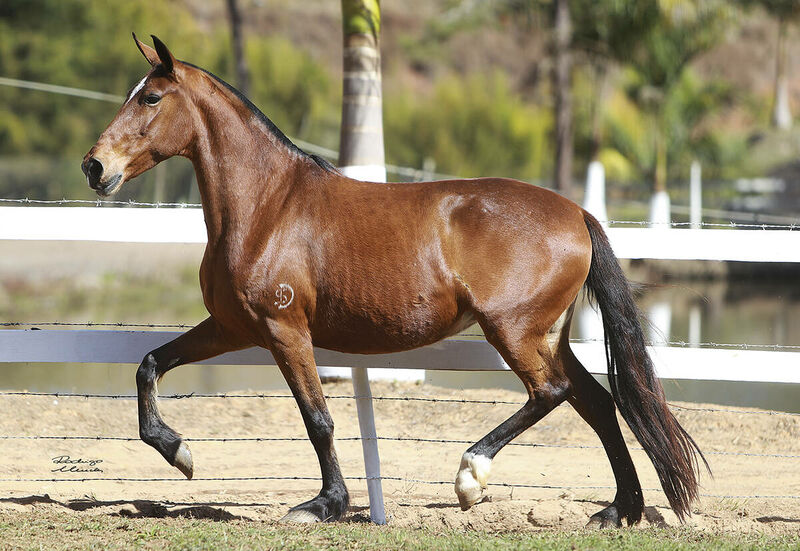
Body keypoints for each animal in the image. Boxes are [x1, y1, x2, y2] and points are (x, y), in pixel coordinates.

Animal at [81, 34, 708, 528]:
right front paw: (180, 453)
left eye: (151, 97)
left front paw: (324, 504)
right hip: (547, 335)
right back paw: (618, 510)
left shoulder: (285, 330)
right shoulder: (234, 326)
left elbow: (317, 419)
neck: (268, 207)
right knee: (599, 403)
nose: (94, 166)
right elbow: (149, 364)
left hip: (514, 332)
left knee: (550, 394)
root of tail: (576, 212)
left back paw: (471, 477)